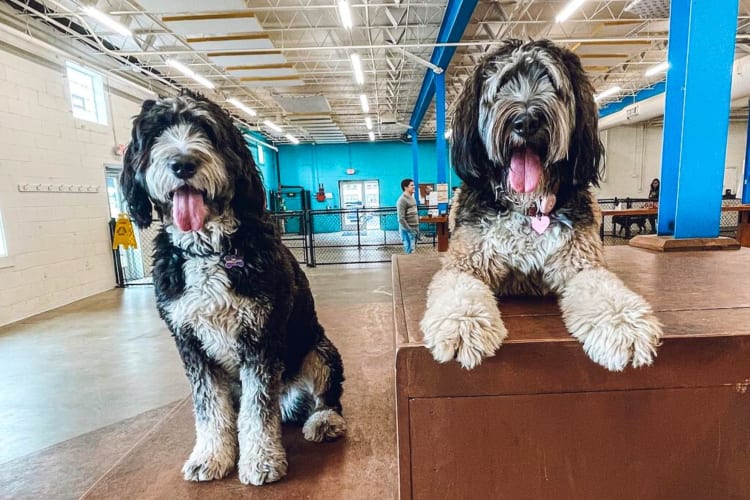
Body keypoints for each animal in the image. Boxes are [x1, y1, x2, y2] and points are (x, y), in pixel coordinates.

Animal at [120, 91, 346, 484]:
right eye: (155, 134)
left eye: (207, 130)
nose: (182, 163)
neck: (208, 248)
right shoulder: (191, 343)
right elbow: (210, 408)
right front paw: (210, 457)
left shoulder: (260, 339)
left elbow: (257, 409)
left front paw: (261, 461)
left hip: (319, 349)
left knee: (323, 397)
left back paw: (323, 421)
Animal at [424, 40, 664, 372]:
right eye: (502, 84)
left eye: (550, 80)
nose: (526, 120)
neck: (527, 208)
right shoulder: (466, 262)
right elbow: (459, 291)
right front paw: (463, 327)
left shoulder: (580, 262)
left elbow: (602, 288)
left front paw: (623, 325)